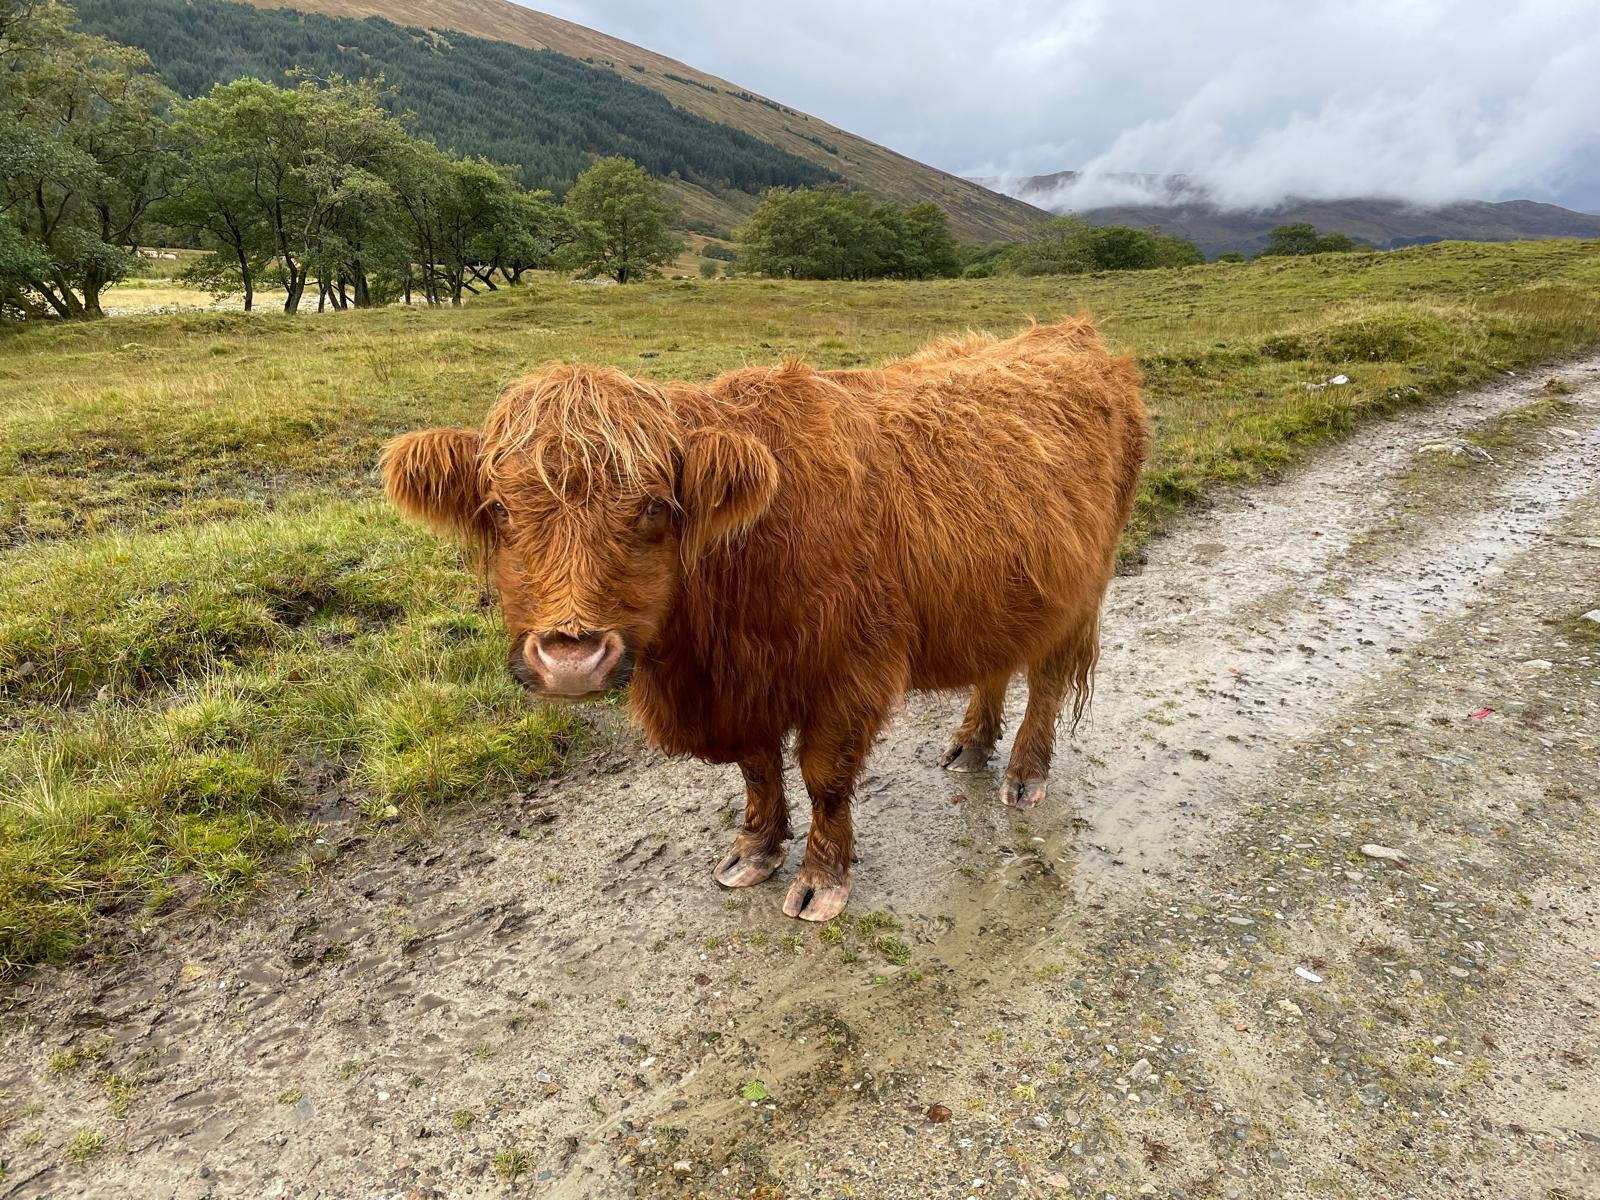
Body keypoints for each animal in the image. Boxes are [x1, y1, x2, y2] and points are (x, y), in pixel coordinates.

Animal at [381, 318, 1148, 920]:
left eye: (655, 507)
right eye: (500, 509)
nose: (571, 659)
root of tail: (1069, 334)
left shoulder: (850, 671)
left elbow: (824, 778)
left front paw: (821, 880)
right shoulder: (742, 689)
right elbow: (756, 770)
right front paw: (754, 850)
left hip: (1081, 590)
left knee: (1046, 681)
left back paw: (1023, 772)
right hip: (1005, 590)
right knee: (998, 660)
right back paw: (970, 743)